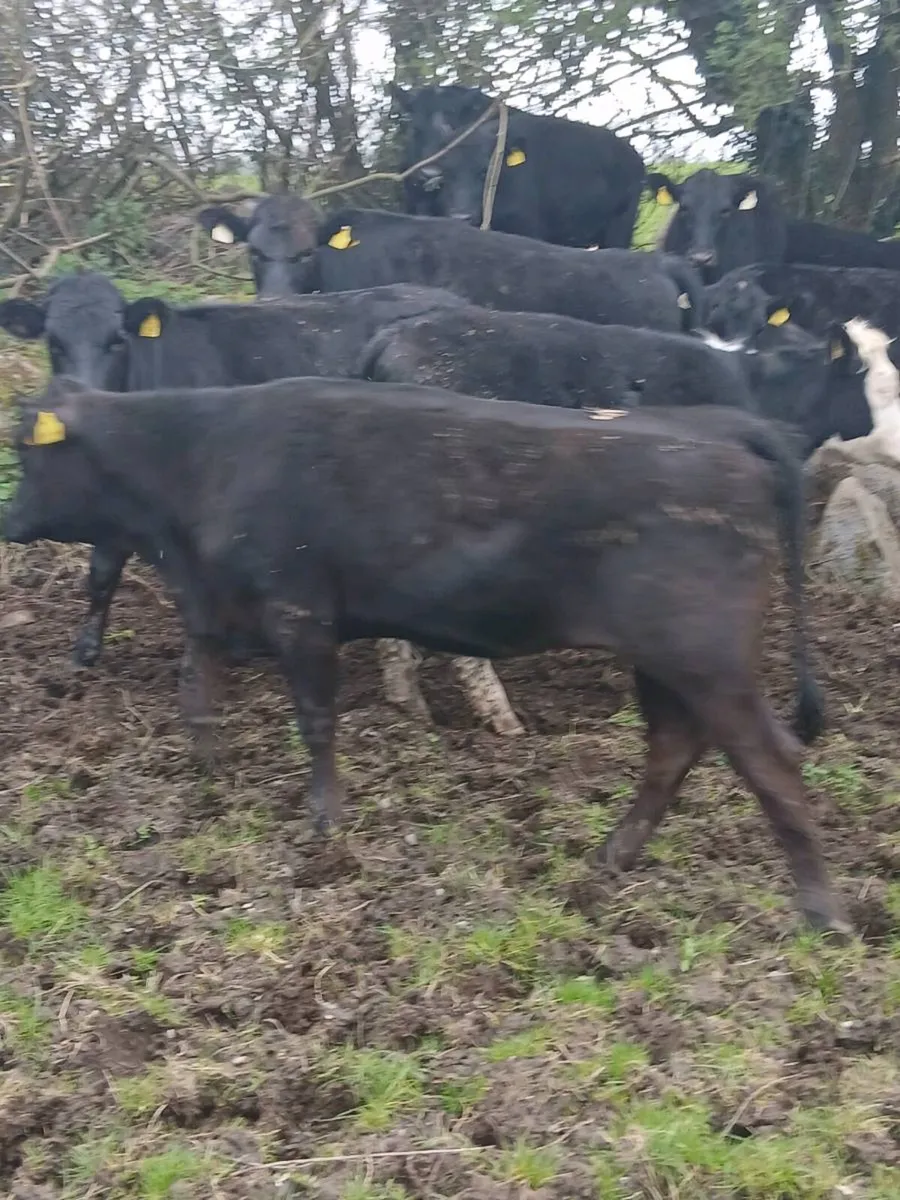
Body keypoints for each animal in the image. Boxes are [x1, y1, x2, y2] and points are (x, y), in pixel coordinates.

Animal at [2, 374, 850, 938]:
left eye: (27, 455)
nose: (8, 522)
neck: (198, 460)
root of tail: (725, 429)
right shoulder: (218, 606)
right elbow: (193, 688)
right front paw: (209, 773)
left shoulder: (300, 611)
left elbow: (315, 718)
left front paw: (325, 820)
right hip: (666, 662)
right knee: (673, 748)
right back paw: (614, 855)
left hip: (707, 659)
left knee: (769, 759)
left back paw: (821, 910)